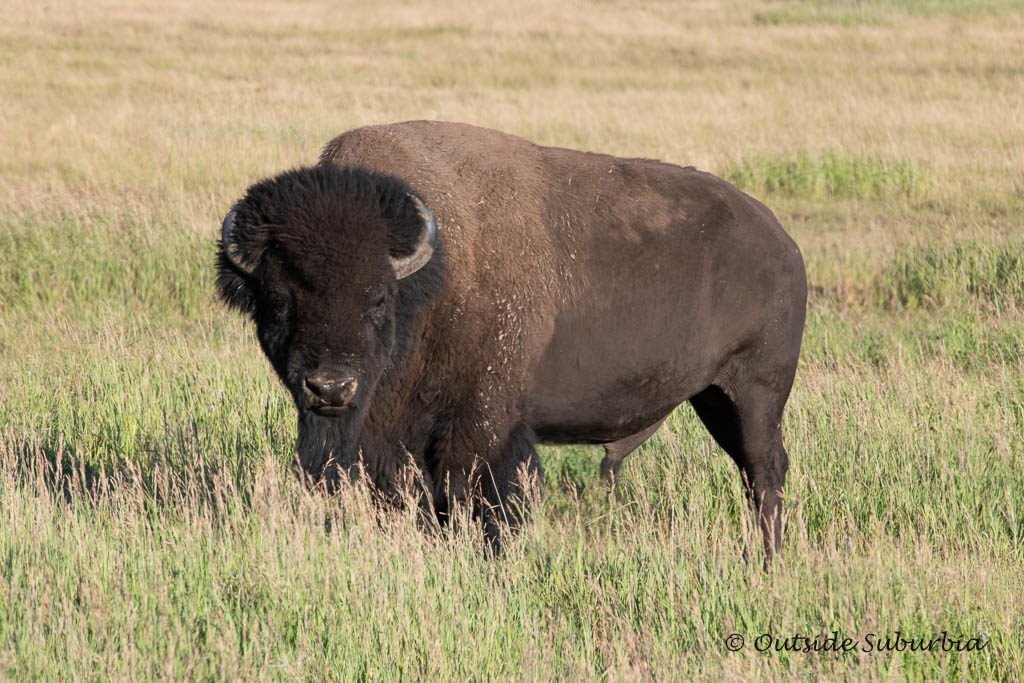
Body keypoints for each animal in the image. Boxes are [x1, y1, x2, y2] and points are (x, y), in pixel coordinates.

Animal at [218, 120, 806, 557]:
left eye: (378, 298)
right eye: (278, 299)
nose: (331, 387)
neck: (432, 279)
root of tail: (782, 242)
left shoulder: (482, 428)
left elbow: (480, 502)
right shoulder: (392, 441)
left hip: (755, 392)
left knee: (765, 470)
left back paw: (768, 560)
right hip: (713, 397)